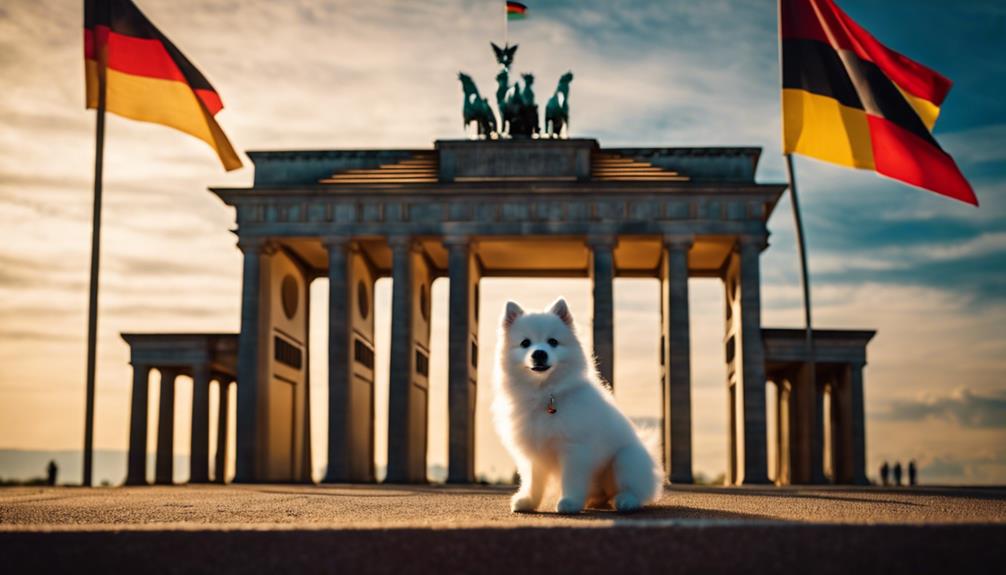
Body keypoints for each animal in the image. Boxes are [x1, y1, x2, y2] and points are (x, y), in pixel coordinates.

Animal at [490, 299, 663, 514]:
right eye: (525, 343)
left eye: (553, 342)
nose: (539, 353)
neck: (544, 395)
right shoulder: (531, 452)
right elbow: (532, 481)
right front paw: (528, 501)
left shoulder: (574, 449)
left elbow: (571, 480)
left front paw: (569, 502)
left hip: (625, 460)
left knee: (634, 489)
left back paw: (625, 500)